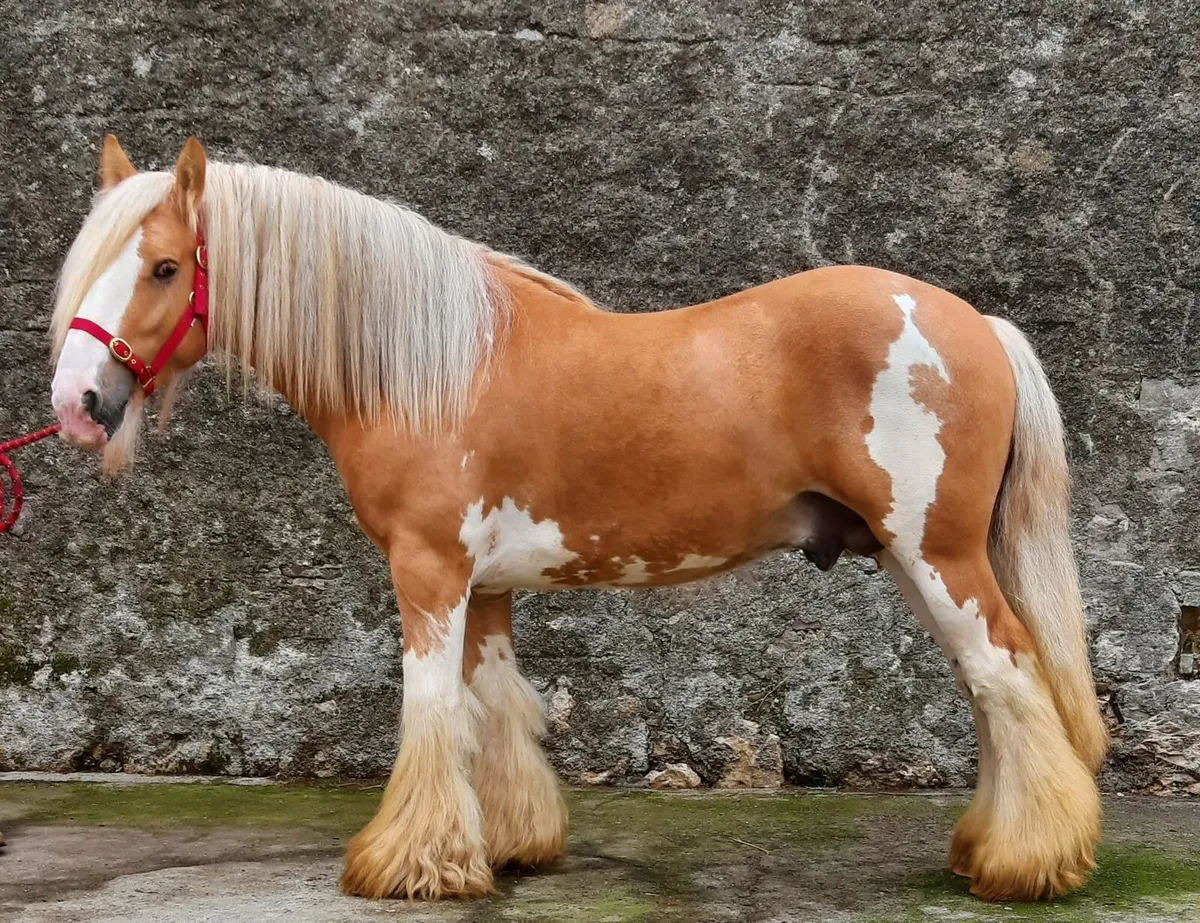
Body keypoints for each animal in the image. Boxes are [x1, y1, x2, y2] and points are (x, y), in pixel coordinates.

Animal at [48, 135, 1108, 903]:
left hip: (937, 553)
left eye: (165, 267)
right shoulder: (483, 587)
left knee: (1007, 676)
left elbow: (429, 709)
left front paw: (407, 864)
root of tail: (979, 326)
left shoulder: (427, 572)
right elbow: (493, 707)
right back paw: (990, 847)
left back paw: (1027, 864)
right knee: (991, 692)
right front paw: (508, 845)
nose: (77, 403)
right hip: (910, 555)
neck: (429, 369)